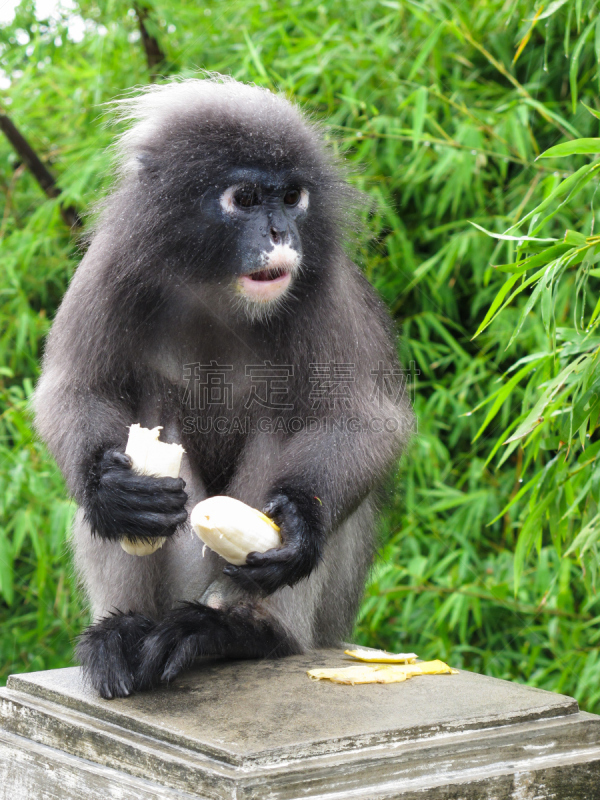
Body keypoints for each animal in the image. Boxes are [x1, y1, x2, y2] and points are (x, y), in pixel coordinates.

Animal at [32, 76, 412, 700]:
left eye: (291, 197)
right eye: (247, 200)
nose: (281, 232)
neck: (216, 284)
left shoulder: (326, 284)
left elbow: (367, 419)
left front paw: (299, 526)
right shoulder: (111, 265)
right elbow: (74, 390)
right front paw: (111, 492)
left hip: (314, 614)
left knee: (283, 419)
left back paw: (238, 632)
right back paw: (120, 633)